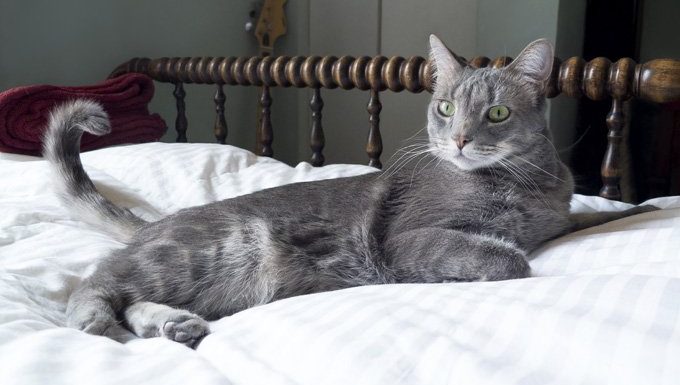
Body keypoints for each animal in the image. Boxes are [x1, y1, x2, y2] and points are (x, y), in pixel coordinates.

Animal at [45, 36, 652, 348]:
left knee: (131, 297)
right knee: (98, 282)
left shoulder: (560, 217)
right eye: (445, 107)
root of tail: (160, 223)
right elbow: (506, 259)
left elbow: (590, 217)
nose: (458, 138)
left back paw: (171, 323)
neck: (523, 183)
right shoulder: (409, 239)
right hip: (208, 250)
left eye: (497, 113)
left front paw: (640, 207)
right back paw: (95, 319)